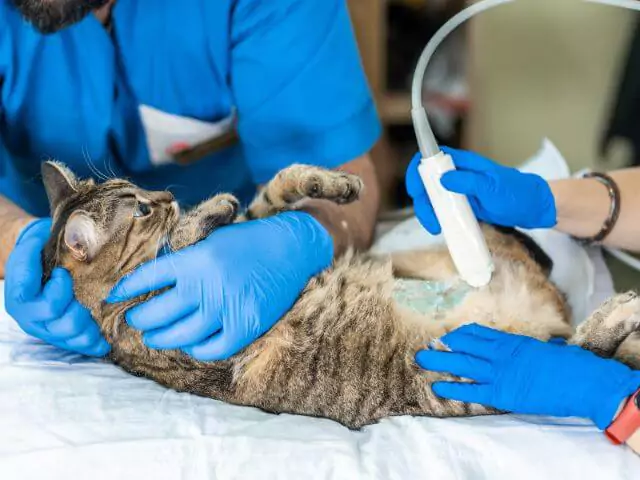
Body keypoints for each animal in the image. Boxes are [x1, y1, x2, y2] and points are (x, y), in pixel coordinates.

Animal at [38, 160, 640, 428]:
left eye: (138, 188)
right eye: (140, 206)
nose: (164, 194)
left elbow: (272, 195)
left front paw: (323, 184)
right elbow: (195, 235)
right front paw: (205, 213)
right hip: (467, 373)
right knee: (574, 356)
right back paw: (617, 313)